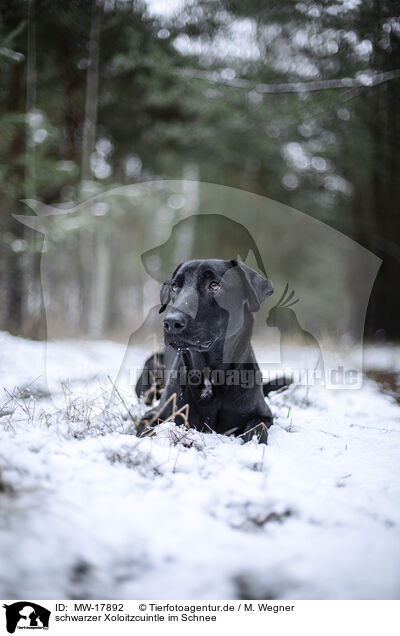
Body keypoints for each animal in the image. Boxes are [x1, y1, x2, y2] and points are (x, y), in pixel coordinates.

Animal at [138, 258, 276, 442]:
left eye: (214, 285)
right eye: (175, 286)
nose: (171, 322)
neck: (211, 371)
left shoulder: (263, 415)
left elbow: (257, 431)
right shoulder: (152, 415)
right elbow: (151, 431)